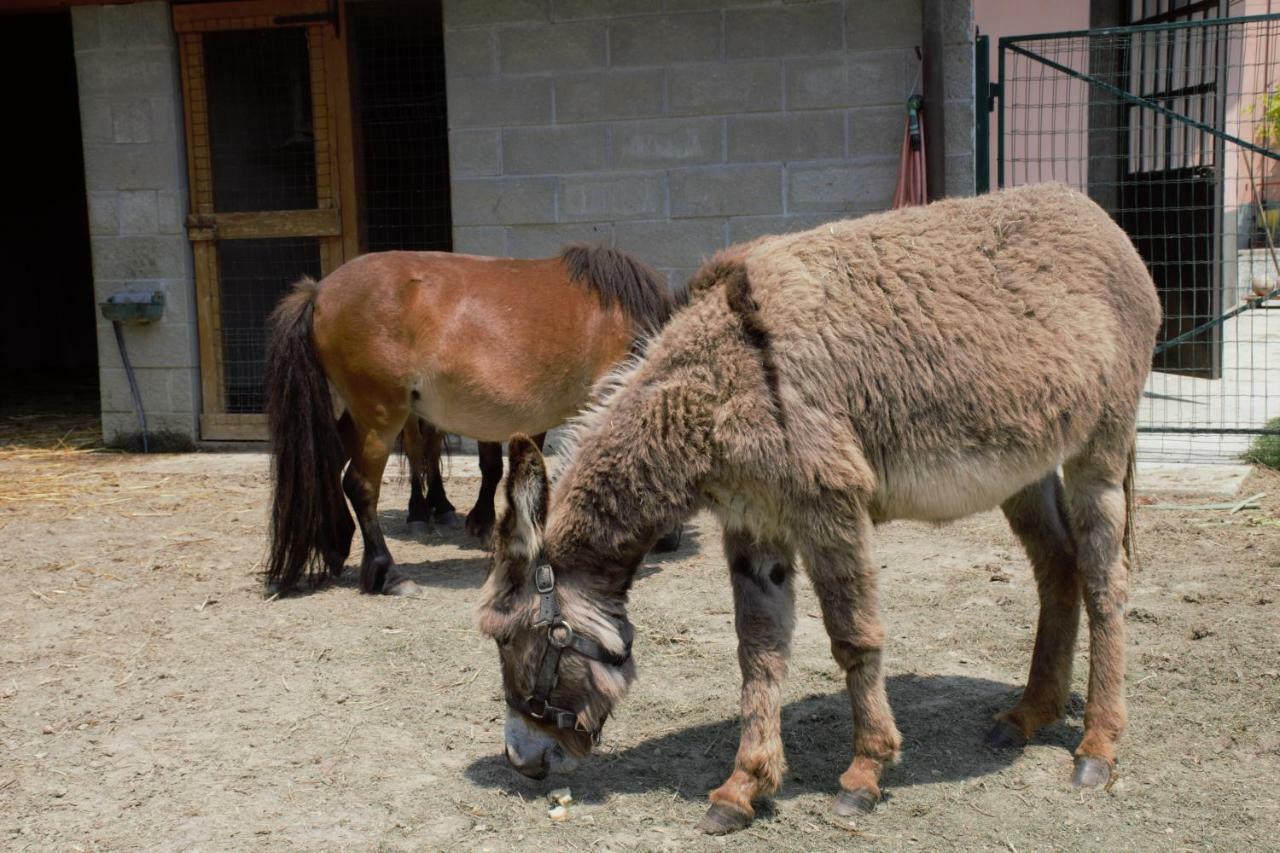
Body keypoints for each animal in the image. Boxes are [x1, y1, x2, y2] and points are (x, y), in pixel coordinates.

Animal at [261, 242, 680, 594]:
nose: (672, 540)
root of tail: (318, 293)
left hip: (360, 416)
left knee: (328, 464)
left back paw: (334, 544)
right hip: (382, 416)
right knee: (360, 486)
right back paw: (388, 572)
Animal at [481, 185, 1162, 829]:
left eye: (512, 637)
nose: (522, 762)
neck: (714, 385)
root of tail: (1098, 218)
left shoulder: (830, 507)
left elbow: (853, 637)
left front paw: (865, 772)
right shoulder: (754, 525)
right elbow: (758, 650)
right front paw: (743, 788)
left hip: (1100, 447)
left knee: (1105, 581)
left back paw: (1097, 747)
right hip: (1025, 466)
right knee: (1058, 566)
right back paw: (1027, 715)